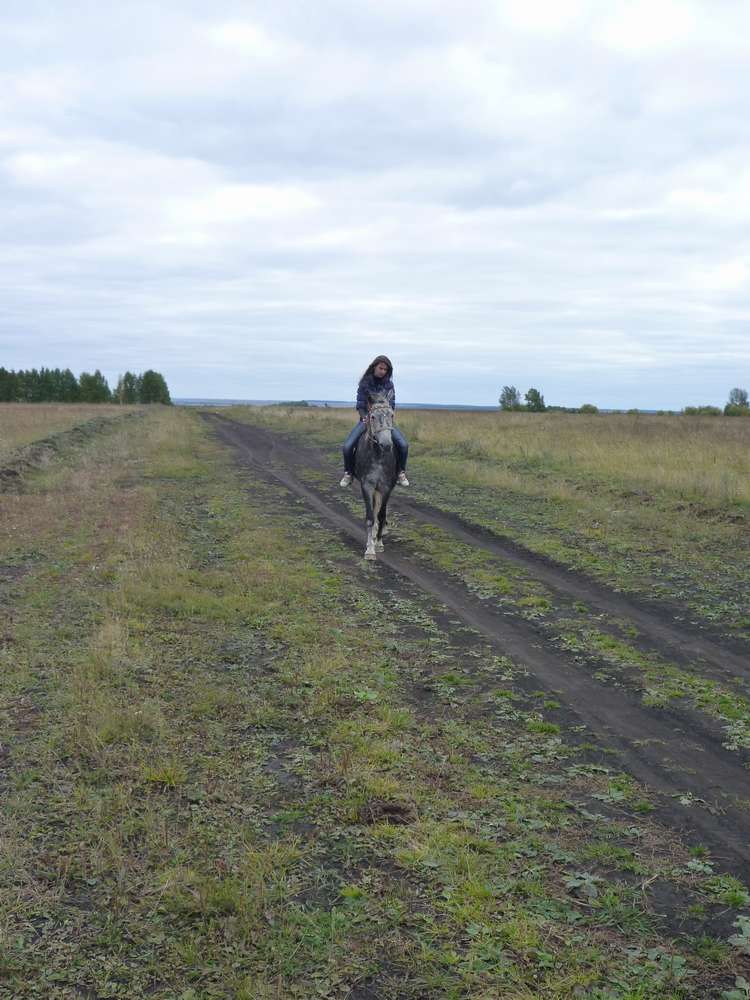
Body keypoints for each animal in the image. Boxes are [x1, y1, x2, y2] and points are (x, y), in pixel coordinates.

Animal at [353, 392, 398, 560]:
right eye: (372, 416)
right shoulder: (367, 485)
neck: (379, 455)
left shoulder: (386, 487)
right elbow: (370, 517)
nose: (386, 445)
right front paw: (370, 549)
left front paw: (378, 544)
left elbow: (381, 514)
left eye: (391, 414)